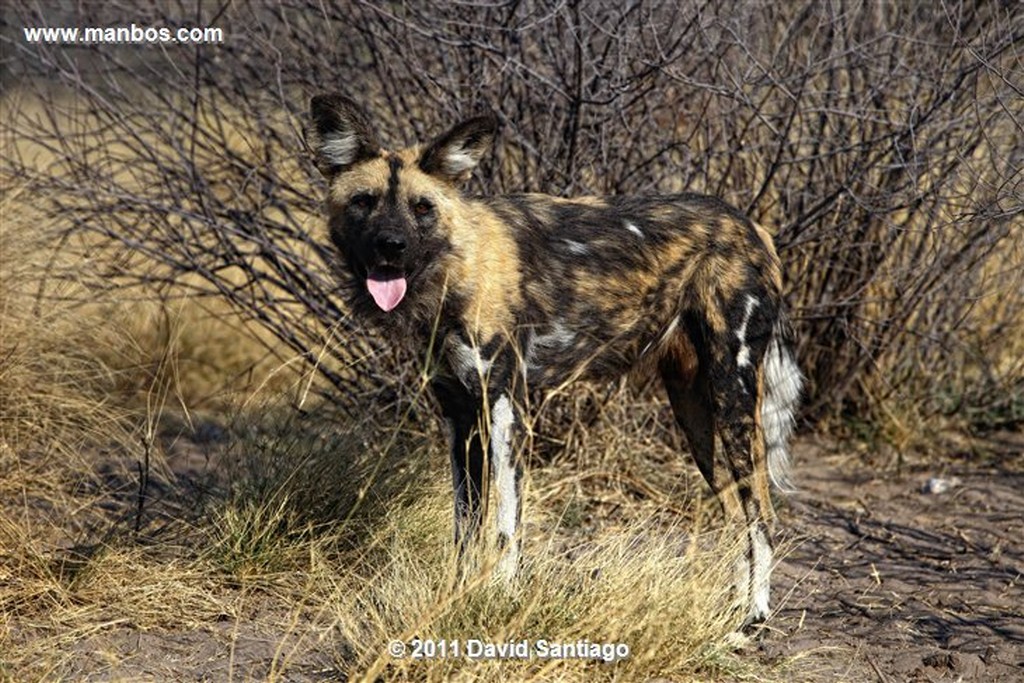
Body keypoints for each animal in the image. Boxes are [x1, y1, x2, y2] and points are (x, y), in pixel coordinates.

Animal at [307, 94, 802, 626]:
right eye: (364, 202)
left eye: (422, 208)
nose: (391, 247)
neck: (455, 269)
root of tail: (753, 226)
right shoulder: (461, 417)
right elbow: (466, 526)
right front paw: (456, 595)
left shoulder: (507, 409)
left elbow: (505, 528)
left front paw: (501, 599)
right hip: (693, 412)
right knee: (735, 516)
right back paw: (730, 610)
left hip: (733, 393)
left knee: (762, 513)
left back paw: (754, 614)